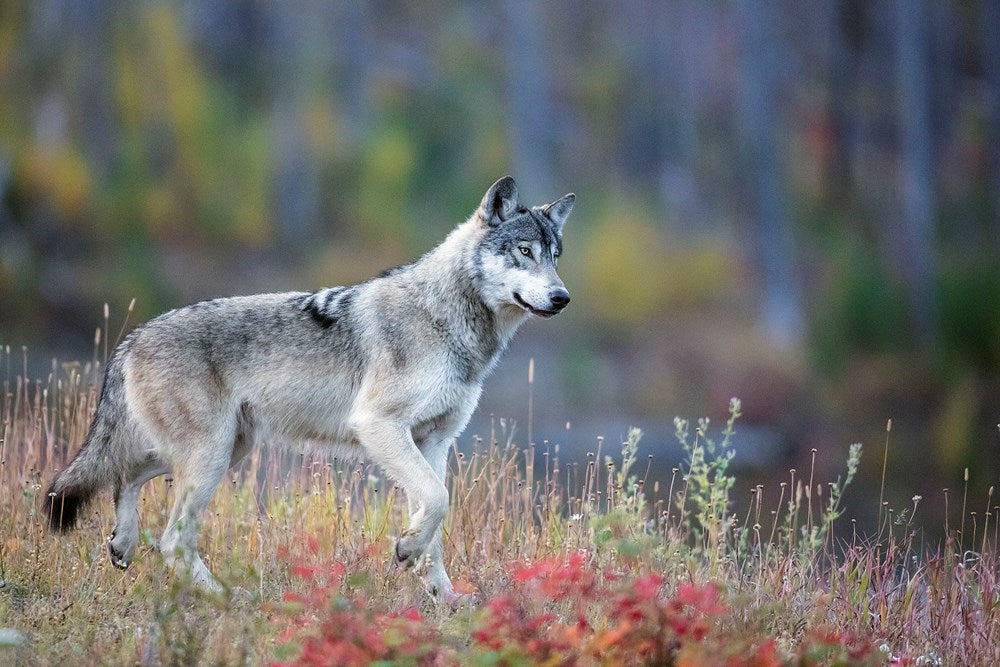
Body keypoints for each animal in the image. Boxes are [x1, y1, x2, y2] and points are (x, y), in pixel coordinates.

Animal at [44, 176, 574, 604]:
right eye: (524, 251)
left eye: (554, 255)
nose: (562, 297)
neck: (445, 319)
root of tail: (133, 338)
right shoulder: (379, 427)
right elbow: (438, 500)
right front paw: (406, 550)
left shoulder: (435, 442)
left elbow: (437, 514)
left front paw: (443, 594)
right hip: (211, 456)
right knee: (172, 538)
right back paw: (226, 597)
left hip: (225, 449)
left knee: (125, 476)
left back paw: (123, 543)